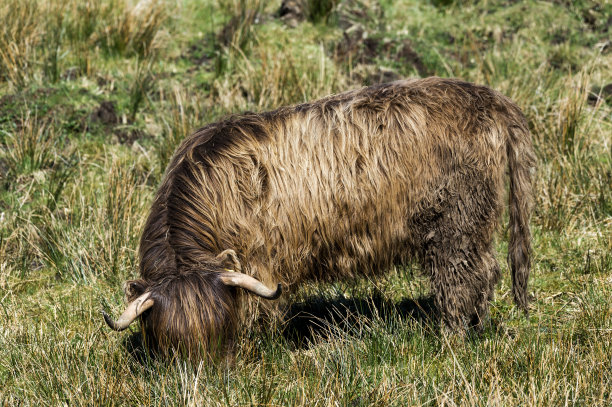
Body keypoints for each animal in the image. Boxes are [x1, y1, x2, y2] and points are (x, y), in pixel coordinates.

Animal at [103, 77, 532, 360]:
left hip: (455, 221)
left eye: (218, 333)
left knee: (461, 277)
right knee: (486, 270)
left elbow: (257, 312)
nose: (204, 380)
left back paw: (452, 339)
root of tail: (486, 96)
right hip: (473, 223)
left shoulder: (258, 260)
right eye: (171, 346)